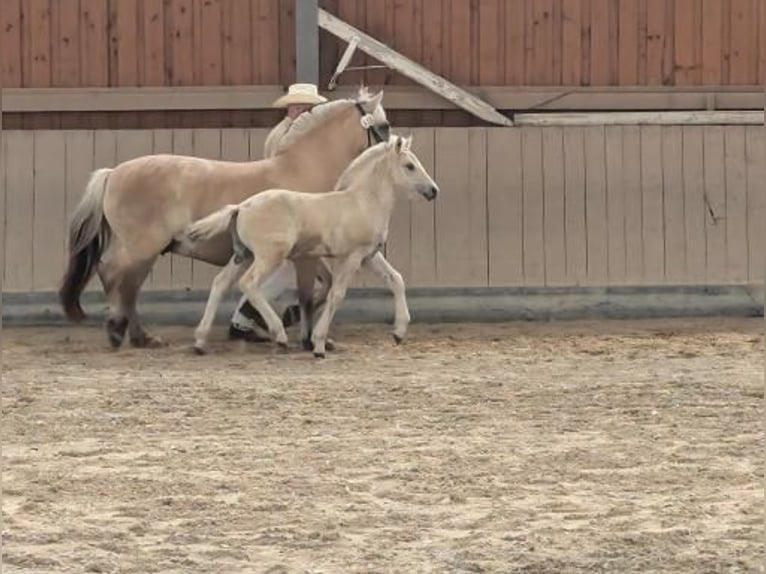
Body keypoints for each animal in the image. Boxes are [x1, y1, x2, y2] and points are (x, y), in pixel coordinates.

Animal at [60, 87, 400, 348]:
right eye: (384, 125)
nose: (397, 148)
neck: (305, 168)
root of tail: (113, 173)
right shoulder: (306, 255)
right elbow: (311, 292)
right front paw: (304, 334)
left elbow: (324, 288)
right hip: (141, 247)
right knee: (115, 276)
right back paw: (120, 331)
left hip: (146, 251)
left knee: (127, 284)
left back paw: (139, 336)